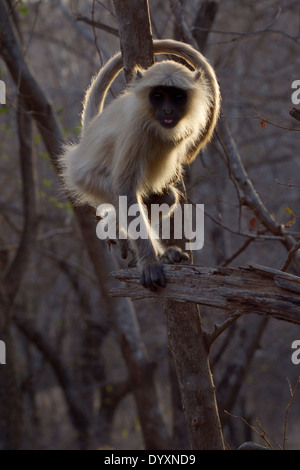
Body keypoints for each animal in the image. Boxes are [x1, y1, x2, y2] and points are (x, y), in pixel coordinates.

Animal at [60, 39, 220, 290]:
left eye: (177, 96)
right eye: (158, 96)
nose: (167, 110)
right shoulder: (135, 130)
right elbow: (124, 189)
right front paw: (150, 263)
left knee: (166, 198)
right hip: (87, 179)